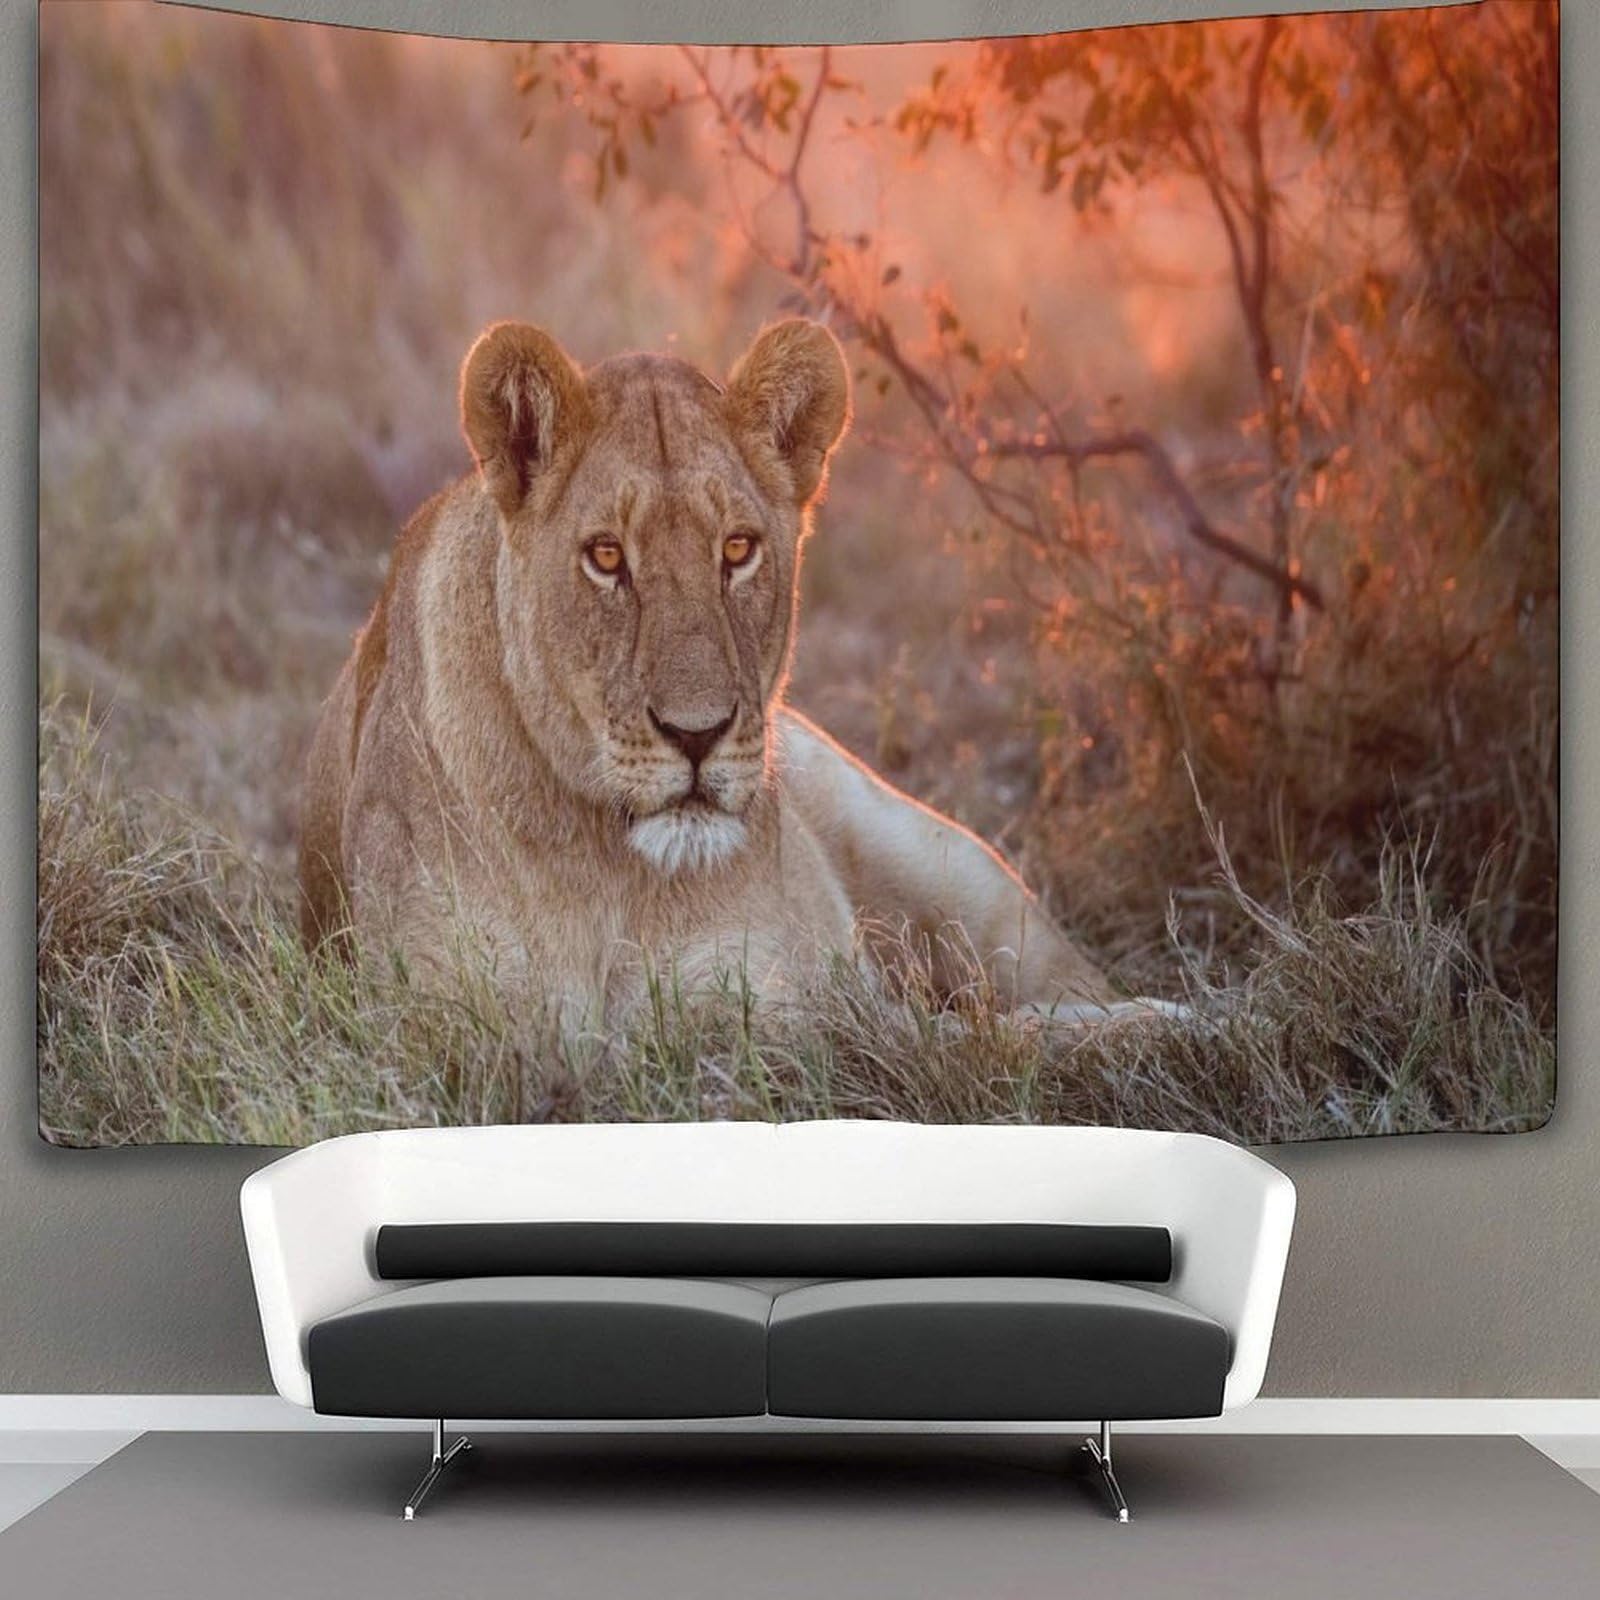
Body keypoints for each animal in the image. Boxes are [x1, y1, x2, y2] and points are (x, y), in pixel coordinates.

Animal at [299, 318, 1136, 1028]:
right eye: (606, 556)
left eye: (737, 549)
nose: (696, 736)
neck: (612, 874)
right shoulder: (443, 1017)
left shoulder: (788, 1002)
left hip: (950, 872)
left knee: (1068, 995)